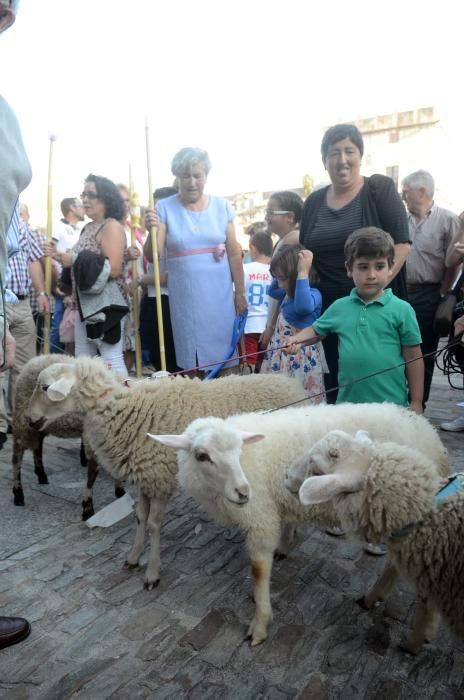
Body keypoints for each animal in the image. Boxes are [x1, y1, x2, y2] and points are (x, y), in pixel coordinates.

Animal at [12, 356, 124, 520]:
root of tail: (33, 361)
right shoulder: (92, 441)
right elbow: (92, 474)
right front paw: (88, 509)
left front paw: (120, 491)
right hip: (22, 423)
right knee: (17, 458)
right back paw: (18, 493)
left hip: (40, 425)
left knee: (38, 447)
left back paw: (41, 475)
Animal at [29, 358, 310, 588]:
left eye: (44, 388)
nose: (30, 419)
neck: (124, 409)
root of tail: (296, 386)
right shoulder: (145, 477)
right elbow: (140, 518)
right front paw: (133, 557)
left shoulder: (159, 479)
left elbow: (154, 524)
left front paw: (152, 573)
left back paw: (285, 541)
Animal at [150, 402, 448, 648]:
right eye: (201, 455)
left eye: (238, 450)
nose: (244, 492)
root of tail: (429, 433)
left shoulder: (260, 516)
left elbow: (259, 570)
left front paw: (260, 623)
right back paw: (377, 598)